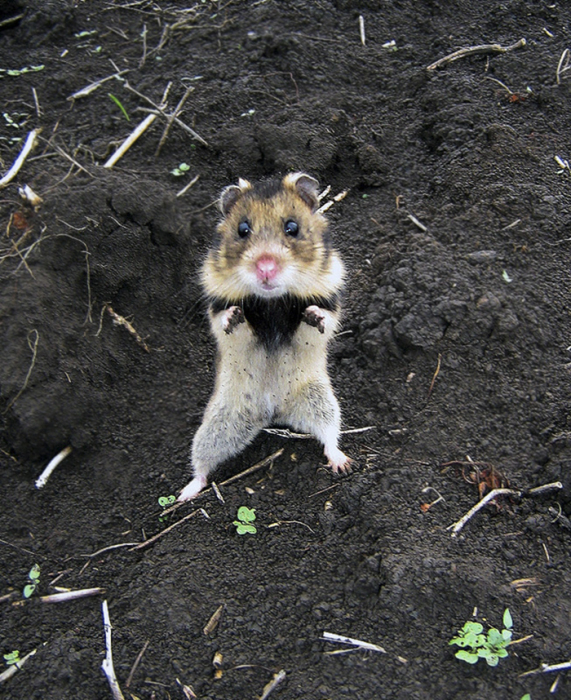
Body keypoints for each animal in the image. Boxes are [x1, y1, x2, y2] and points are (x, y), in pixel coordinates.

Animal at [177, 175, 350, 504]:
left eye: (292, 227)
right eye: (242, 229)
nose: (266, 269)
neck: (272, 302)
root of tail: (272, 411)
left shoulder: (330, 305)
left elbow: (318, 322)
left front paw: (313, 315)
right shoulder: (217, 312)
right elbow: (230, 324)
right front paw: (235, 316)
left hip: (321, 400)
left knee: (329, 435)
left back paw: (342, 463)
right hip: (219, 423)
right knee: (202, 464)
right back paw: (185, 493)